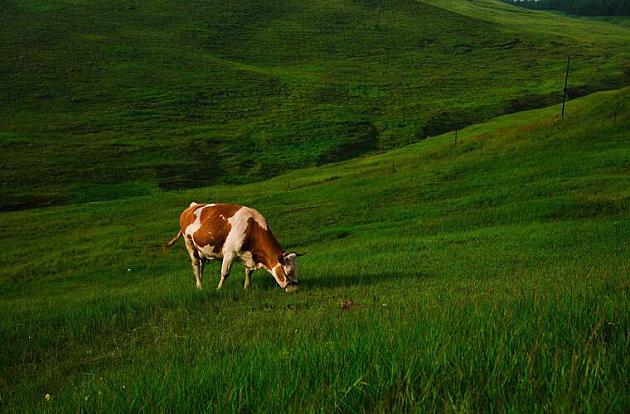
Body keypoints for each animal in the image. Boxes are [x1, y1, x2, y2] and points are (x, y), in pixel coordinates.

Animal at [165, 202, 306, 292]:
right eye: (289, 272)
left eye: (297, 270)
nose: (295, 289)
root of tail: (191, 206)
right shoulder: (230, 253)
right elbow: (225, 273)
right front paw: (219, 288)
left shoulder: (249, 255)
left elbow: (248, 272)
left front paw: (246, 287)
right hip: (189, 243)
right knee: (195, 265)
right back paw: (199, 286)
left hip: (201, 249)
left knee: (201, 265)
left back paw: (200, 283)